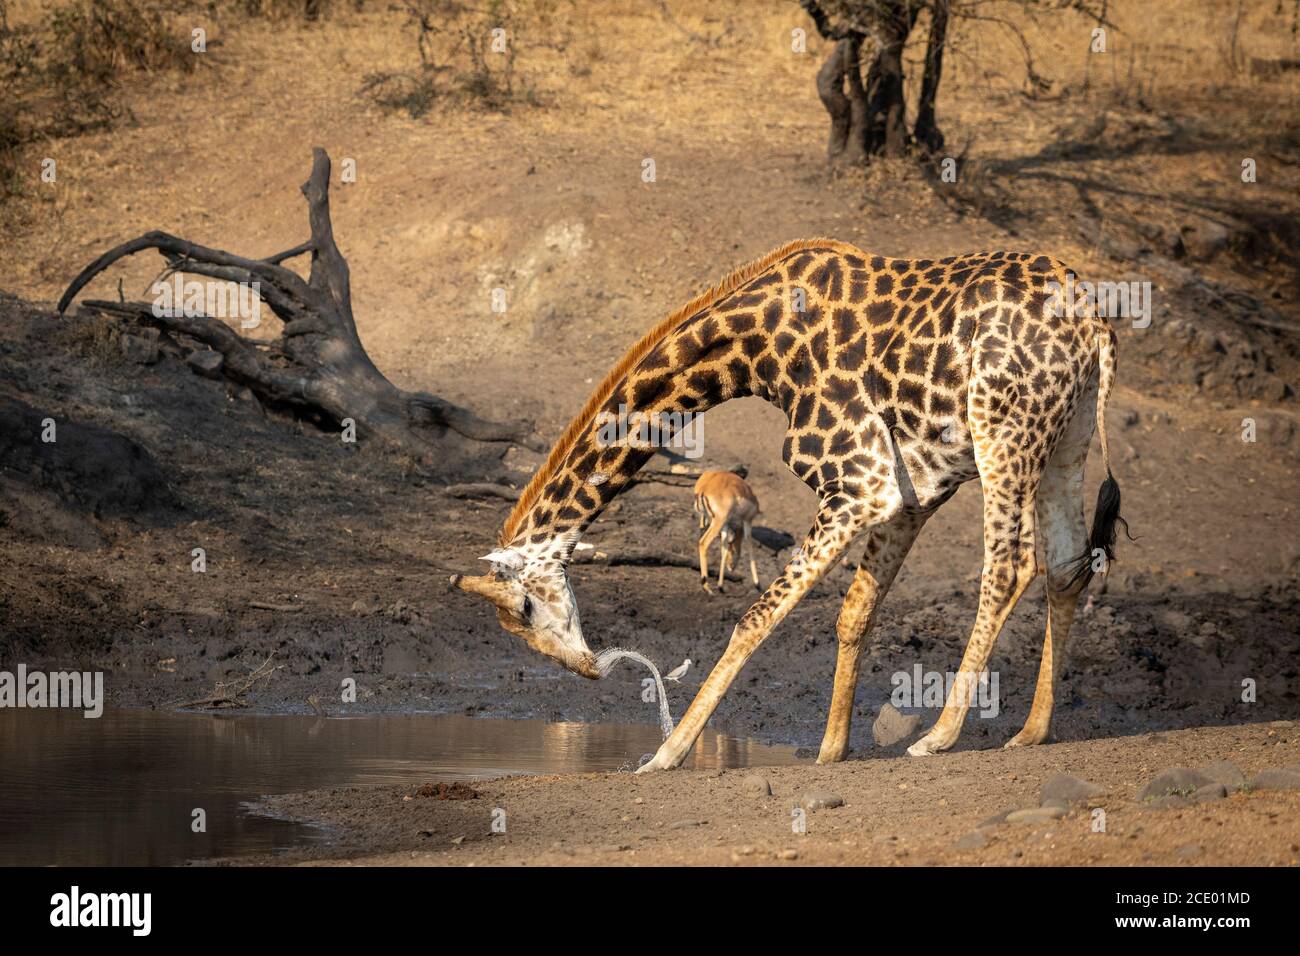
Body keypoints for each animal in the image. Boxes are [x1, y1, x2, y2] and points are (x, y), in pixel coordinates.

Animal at [452, 238, 1123, 770]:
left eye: (524, 611)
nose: (588, 669)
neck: (757, 352)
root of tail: (1092, 323)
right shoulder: (910, 491)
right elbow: (854, 612)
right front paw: (831, 750)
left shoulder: (861, 482)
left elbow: (756, 616)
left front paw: (666, 754)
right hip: (1066, 438)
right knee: (1067, 565)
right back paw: (1032, 731)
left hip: (1003, 432)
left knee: (1010, 563)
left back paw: (939, 736)